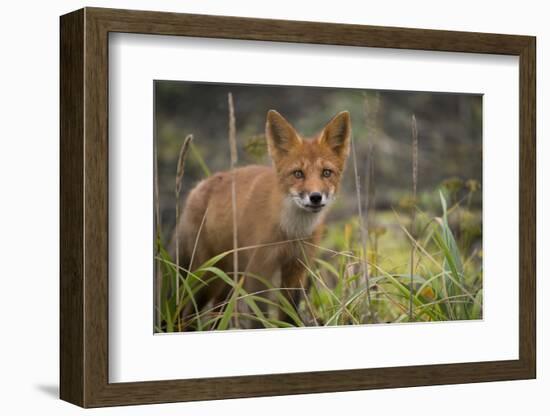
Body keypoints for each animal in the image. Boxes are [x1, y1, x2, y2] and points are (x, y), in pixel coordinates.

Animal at [172, 109, 354, 326]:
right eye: (298, 174)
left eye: (326, 173)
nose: (316, 197)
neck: (290, 232)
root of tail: (197, 188)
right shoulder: (259, 271)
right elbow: (259, 318)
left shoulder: (296, 270)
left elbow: (289, 316)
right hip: (208, 276)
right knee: (187, 315)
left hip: (227, 280)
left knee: (215, 314)